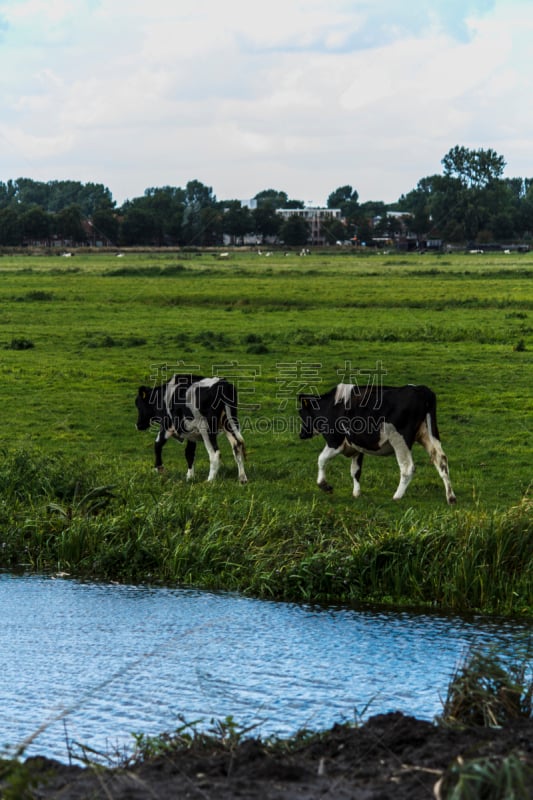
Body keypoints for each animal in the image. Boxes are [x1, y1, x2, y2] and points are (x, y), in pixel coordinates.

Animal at [298, 384, 456, 504]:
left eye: (301, 413)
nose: (301, 434)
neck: (330, 406)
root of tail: (421, 389)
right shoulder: (357, 446)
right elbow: (355, 471)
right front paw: (356, 493)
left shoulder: (335, 441)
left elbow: (321, 459)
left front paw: (324, 485)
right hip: (429, 434)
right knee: (441, 460)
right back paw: (450, 497)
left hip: (400, 440)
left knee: (408, 467)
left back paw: (397, 496)